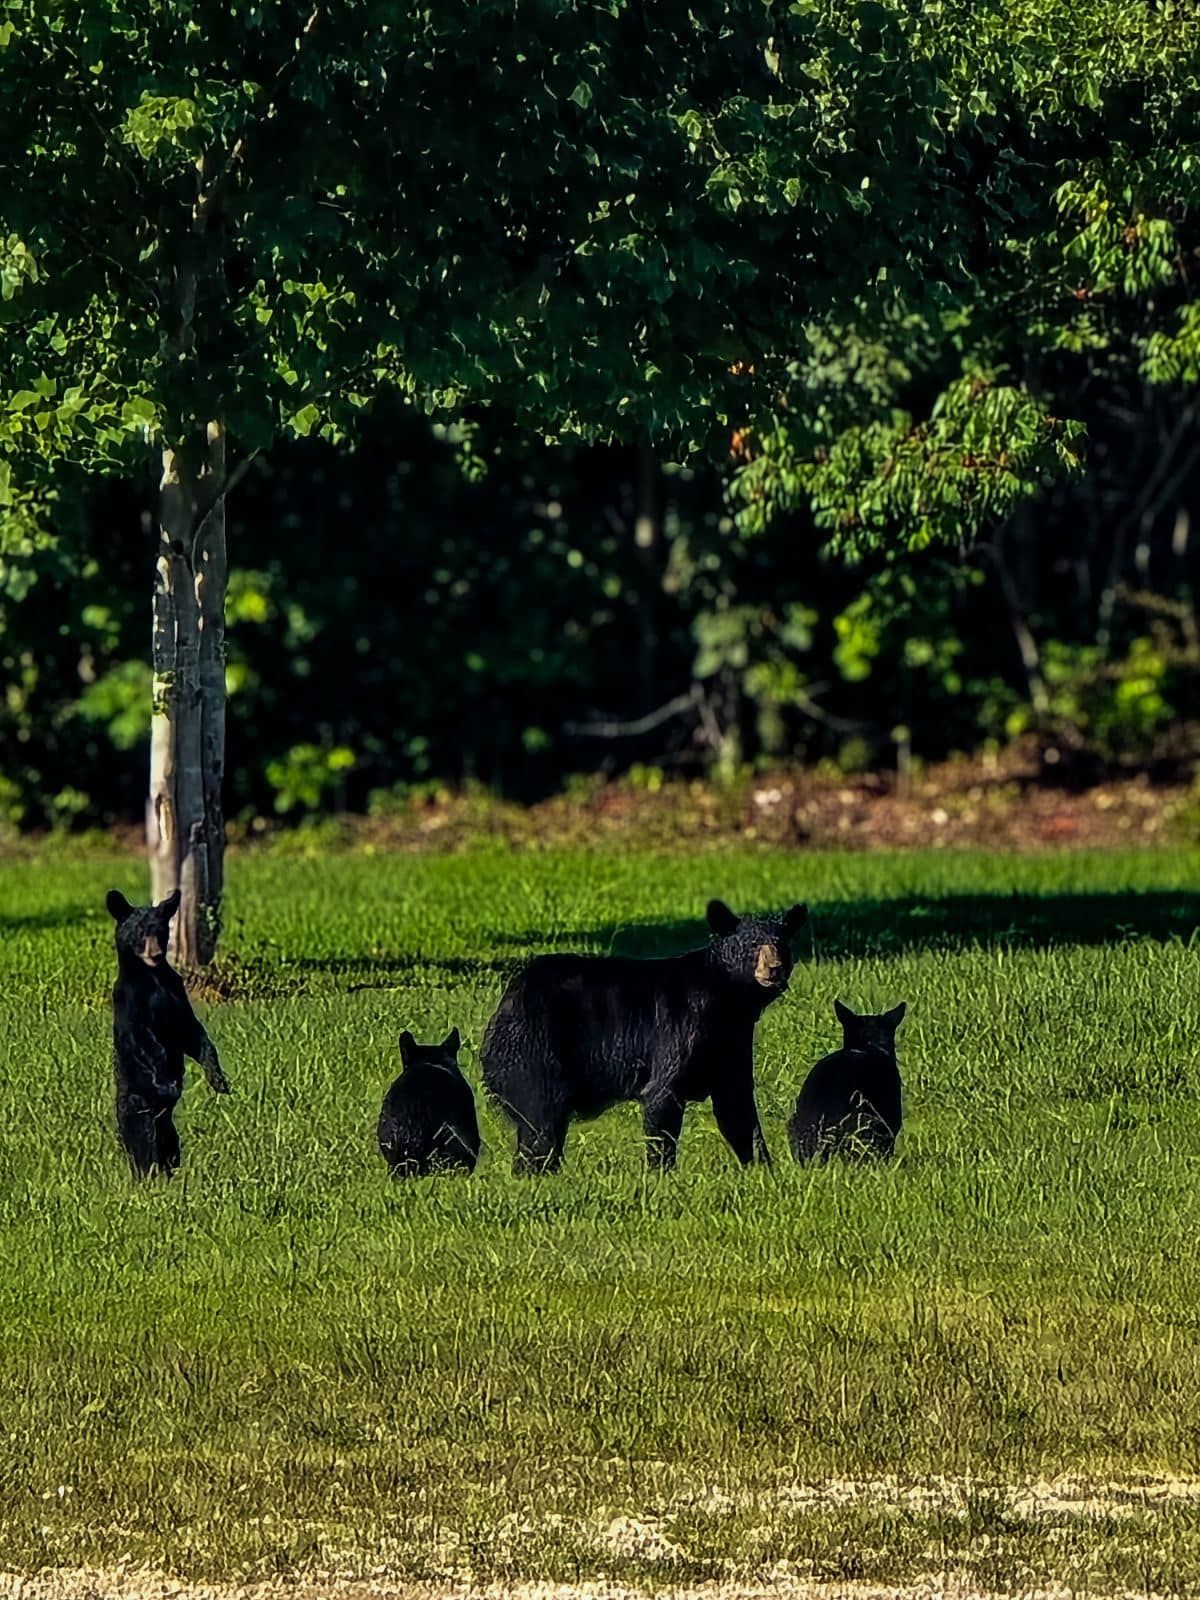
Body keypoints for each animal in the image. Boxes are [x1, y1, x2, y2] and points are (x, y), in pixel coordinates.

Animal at [107, 887, 230, 1178]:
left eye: (161, 930)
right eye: (140, 932)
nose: (155, 952)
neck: (152, 977)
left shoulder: (175, 991)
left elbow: (192, 1033)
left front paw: (219, 1080)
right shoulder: (131, 1000)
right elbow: (144, 1039)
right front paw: (167, 1081)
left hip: (167, 1129)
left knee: (170, 1148)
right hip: (137, 1111)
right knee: (143, 1147)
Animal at [479, 898, 808, 1175]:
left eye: (781, 944)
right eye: (752, 945)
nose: (774, 969)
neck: (729, 999)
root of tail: (506, 999)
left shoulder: (732, 1038)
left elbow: (735, 1103)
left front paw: (763, 1167)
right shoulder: (680, 1027)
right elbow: (663, 1096)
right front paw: (662, 1171)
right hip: (536, 1051)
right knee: (540, 1119)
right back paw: (533, 1172)